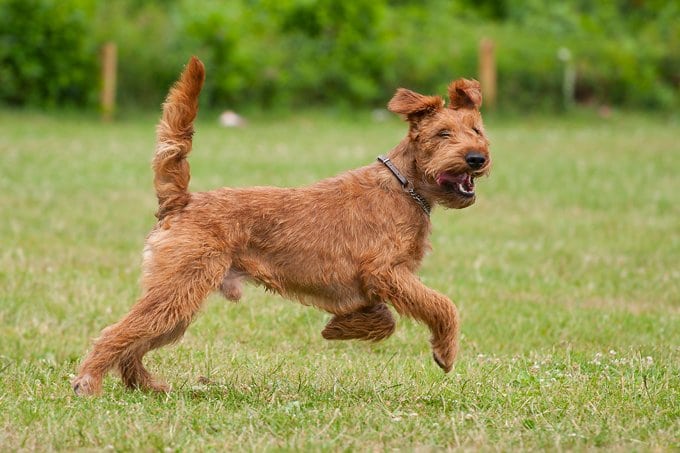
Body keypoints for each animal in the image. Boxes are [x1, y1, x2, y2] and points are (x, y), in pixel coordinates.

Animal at [73, 57, 488, 396]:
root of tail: (182, 201)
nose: (477, 158)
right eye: (443, 134)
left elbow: (384, 318)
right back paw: (88, 382)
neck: (405, 186)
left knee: (136, 341)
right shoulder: (386, 271)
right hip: (180, 287)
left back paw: (145, 384)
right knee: (117, 333)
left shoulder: (378, 281)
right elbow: (442, 304)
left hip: (178, 299)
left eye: (478, 130)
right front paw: (445, 352)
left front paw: (341, 328)